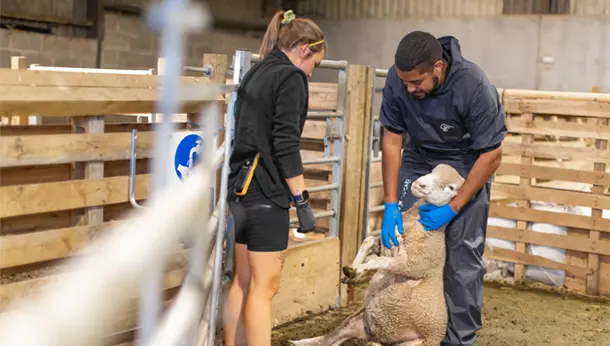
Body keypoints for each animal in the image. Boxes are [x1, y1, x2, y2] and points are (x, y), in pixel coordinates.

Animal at [288, 163, 464, 346]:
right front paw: (353, 269)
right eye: (431, 170)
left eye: (451, 187)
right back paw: (300, 342)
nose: (420, 183)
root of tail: (377, 336)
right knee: (331, 337)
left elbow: (380, 260)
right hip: (357, 320)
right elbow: (369, 240)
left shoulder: (412, 265)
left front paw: (360, 268)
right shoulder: (386, 242)